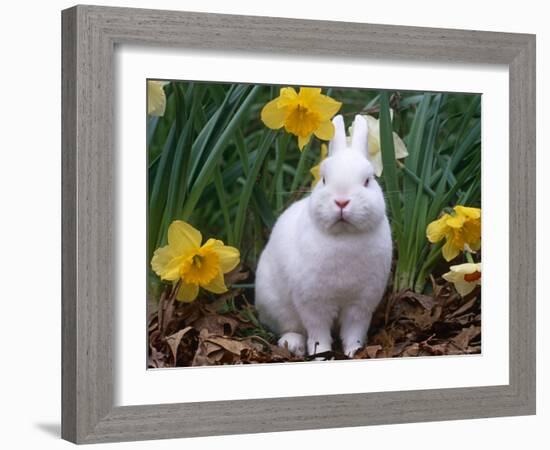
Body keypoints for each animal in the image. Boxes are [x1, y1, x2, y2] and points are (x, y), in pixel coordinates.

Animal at [256, 114, 394, 356]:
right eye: (323, 179)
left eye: (367, 181)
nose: (341, 201)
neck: (344, 237)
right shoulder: (313, 303)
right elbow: (318, 332)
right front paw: (320, 355)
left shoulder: (361, 304)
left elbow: (354, 331)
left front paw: (354, 352)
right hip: (275, 305)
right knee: (289, 328)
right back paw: (293, 344)